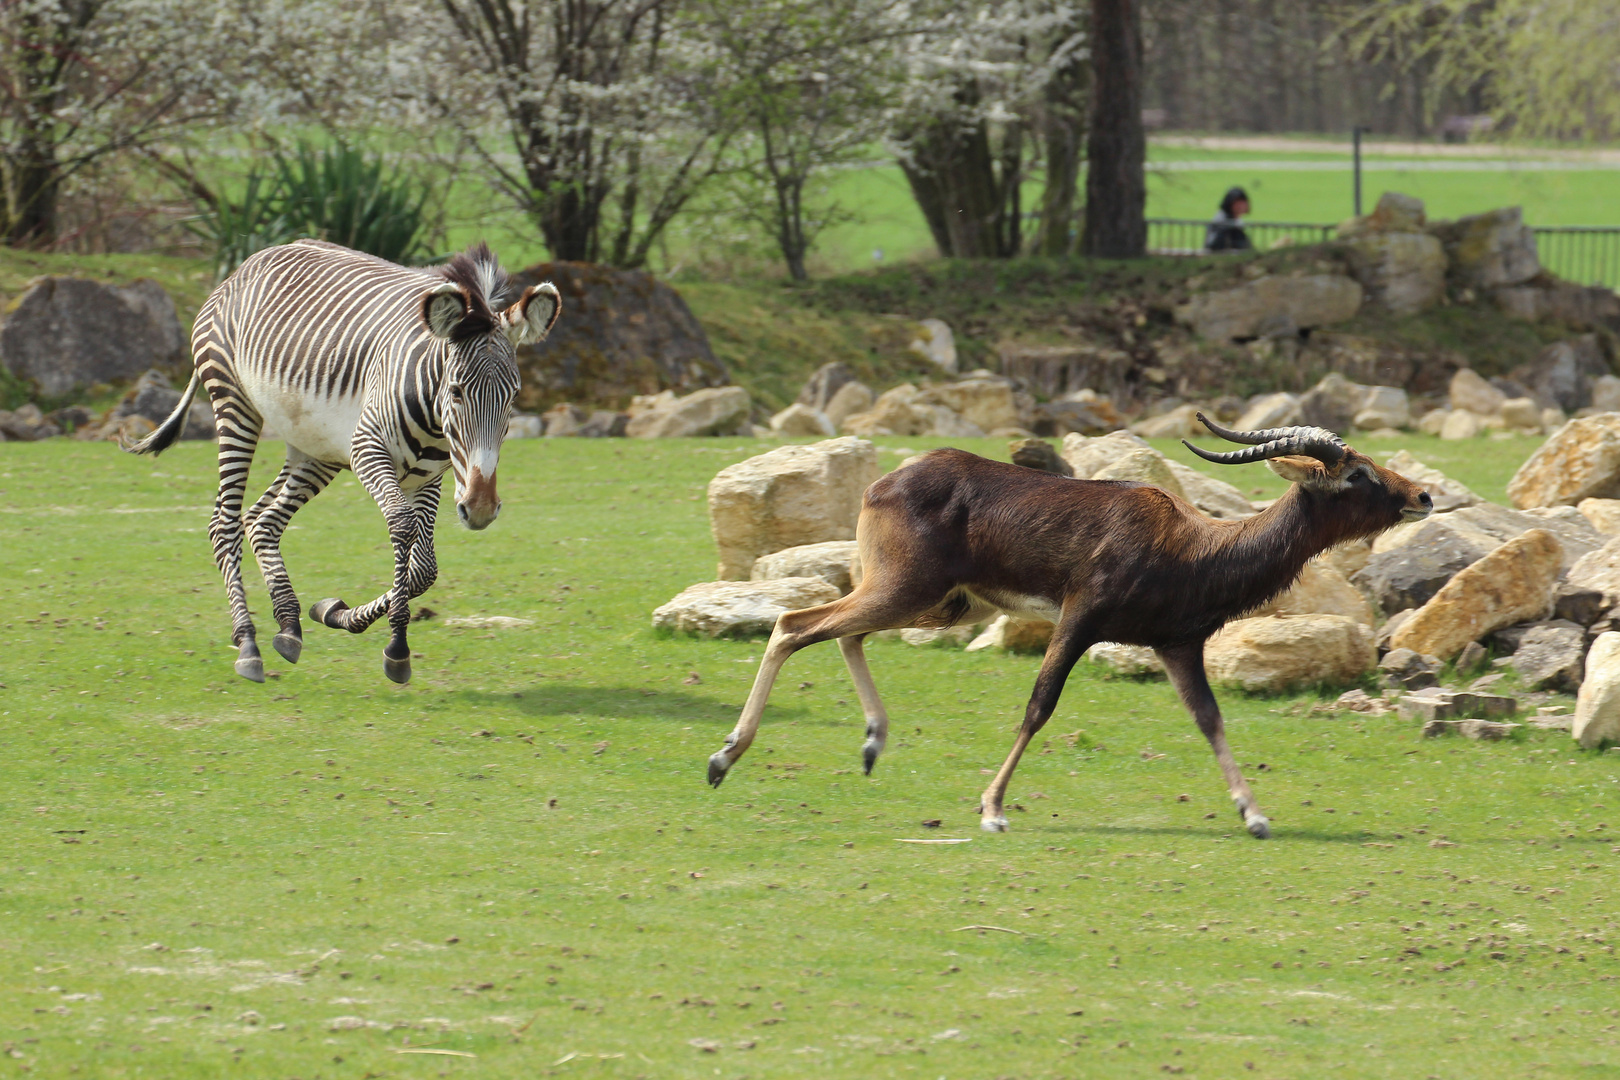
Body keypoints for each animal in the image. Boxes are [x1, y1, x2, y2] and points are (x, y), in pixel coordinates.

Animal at [123, 242, 560, 683]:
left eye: (514, 395)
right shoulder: (367, 449)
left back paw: (289, 625)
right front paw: (397, 648)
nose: (482, 508)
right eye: (455, 391)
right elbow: (402, 526)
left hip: (315, 447)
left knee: (261, 519)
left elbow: (424, 568)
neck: (434, 421)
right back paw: (248, 643)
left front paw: (335, 613)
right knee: (225, 522)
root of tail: (248, 263)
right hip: (234, 401)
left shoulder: (430, 477)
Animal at [709, 417, 1432, 841]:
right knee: (794, 623)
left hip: (937, 602)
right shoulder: (1080, 619)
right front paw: (992, 810)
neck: (1193, 546)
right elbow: (1039, 705)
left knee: (842, 633)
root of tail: (886, 482)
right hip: (907, 591)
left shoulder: (1177, 646)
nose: (1422, 495)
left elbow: (1210, 718)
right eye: (1357, 472)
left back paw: (870, 744)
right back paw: (724, 759)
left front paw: (1253, 814)